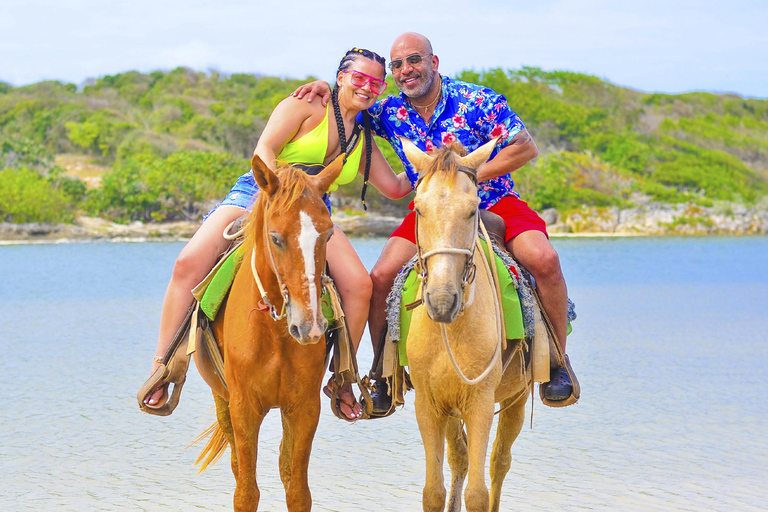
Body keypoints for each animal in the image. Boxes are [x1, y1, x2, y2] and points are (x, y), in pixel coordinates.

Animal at [194, 155, 344, 512]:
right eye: (276, 238)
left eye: (328, 235)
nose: (309, 325)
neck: (274, 334)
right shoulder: (243, 409)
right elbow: (246, 492)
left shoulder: (304, 408)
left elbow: (298, 490)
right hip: (222, 401)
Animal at [400, 139, 532, 512]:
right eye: (418, 209)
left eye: (473, 210)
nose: (443, 301)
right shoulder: (430, 405)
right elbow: (433, 491)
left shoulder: (481, 403)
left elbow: (478, 493)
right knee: (460, 458)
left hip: (517, 398)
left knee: (499, 462)